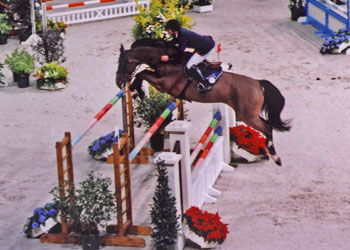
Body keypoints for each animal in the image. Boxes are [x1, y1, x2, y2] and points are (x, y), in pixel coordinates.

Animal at [116, 40, 292, 165]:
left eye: (122, 63)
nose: (119, 82)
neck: (166, 61)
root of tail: (258, 84)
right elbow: (143, 72)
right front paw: (135, 90)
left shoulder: (164, 84)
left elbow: (142, 73)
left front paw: (136, 89)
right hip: (249, 114)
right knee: (267, 126)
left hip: (248, 116)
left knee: (267, 128)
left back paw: (276, 157)